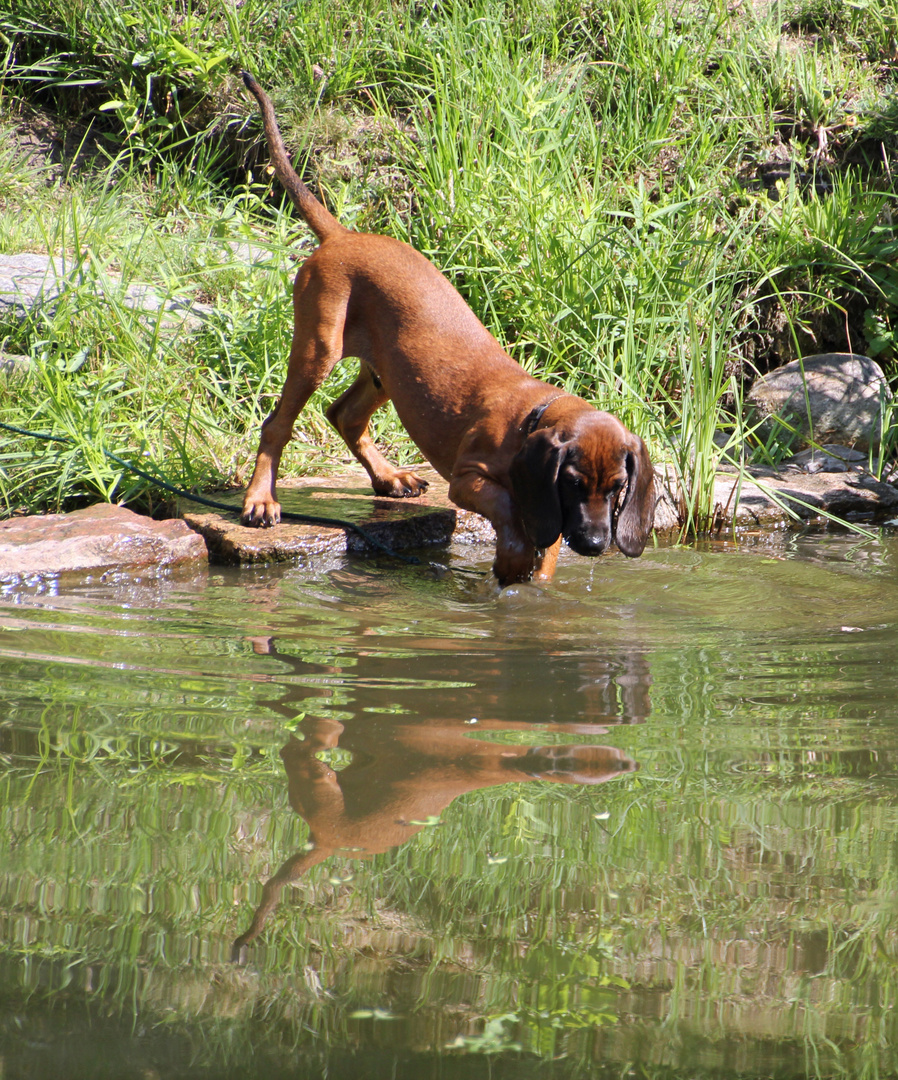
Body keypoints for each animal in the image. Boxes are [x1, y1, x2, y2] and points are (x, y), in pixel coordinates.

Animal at [242, 71, 657, 587]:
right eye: (574, 484)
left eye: (619, 487)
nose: (597, 544)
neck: (531, 417)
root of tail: (343, 236)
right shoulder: (467, 479)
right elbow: (511, 510)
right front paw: (513, 555)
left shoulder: (547, 512)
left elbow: (543, 547)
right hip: (316, 349)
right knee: (277, 425)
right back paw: (261, 499)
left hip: (387, 373)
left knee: (345, 415)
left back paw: (389, 478)